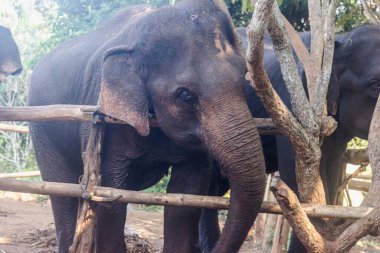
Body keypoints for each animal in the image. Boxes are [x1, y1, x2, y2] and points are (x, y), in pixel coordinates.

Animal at [27, 1, 268, 253]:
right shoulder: (107, 119)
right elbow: (112, 190)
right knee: (61, 191)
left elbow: (187, 194)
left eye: (244, 77)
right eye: (185, 95)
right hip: (42, 129)